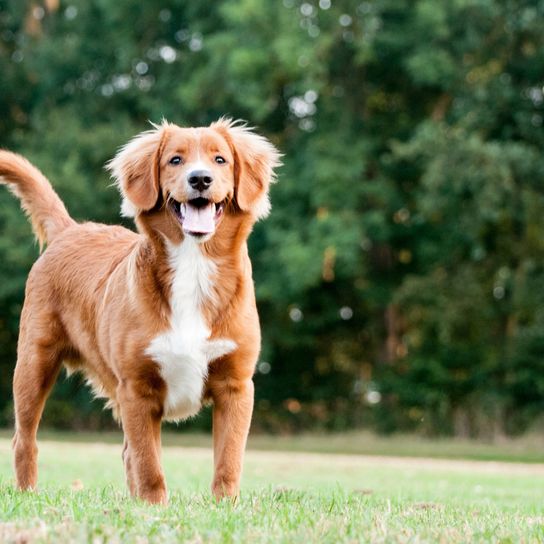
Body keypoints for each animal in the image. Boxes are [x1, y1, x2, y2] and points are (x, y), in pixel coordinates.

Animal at [0, 120, 280, 506]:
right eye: (175, 160)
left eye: (220, 159)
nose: (200, 179)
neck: (193, 266)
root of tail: (71, 229)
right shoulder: (136, 388)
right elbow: (149, 461)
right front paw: (152, 505)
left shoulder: (235, 385)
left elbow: (228, 459)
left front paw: (225, 505)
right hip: (33, 363)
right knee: (24, 439)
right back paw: (28, 491)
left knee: (125, 451)